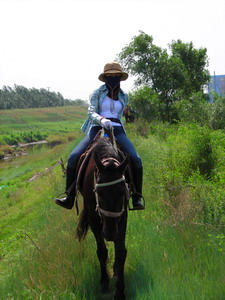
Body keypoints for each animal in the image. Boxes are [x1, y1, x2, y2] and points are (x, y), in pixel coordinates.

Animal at [75, 131, 128, 300]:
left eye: (122, 192)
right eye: (98, 192)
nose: (109, 233)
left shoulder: (122, 216)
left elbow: (121, 251)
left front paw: (120, 290)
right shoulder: (94, 219)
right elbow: (102, 251)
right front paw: (104, 282)